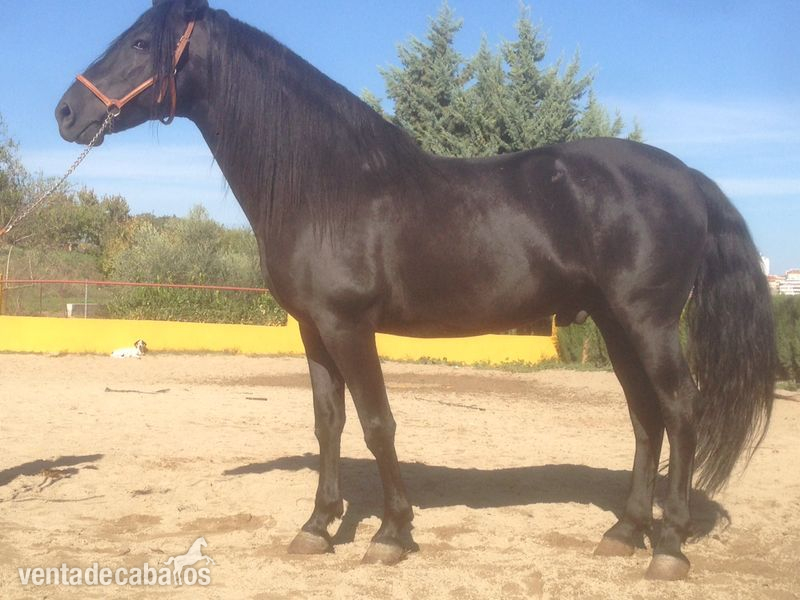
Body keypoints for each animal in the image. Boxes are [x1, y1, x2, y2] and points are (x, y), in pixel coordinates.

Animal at [55, 0, 776, 580]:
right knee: (645, 417)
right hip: (614, 322)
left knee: (680, 409)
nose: (65, 111)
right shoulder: (314, 329)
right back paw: (624, 531)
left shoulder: (350, 325)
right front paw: (318, 526)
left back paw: (670, 545)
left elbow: (378, 424)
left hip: (647, 321)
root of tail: (688, 177)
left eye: (140, 43)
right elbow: (328, 422)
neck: (330, 184)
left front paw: (391, 533)